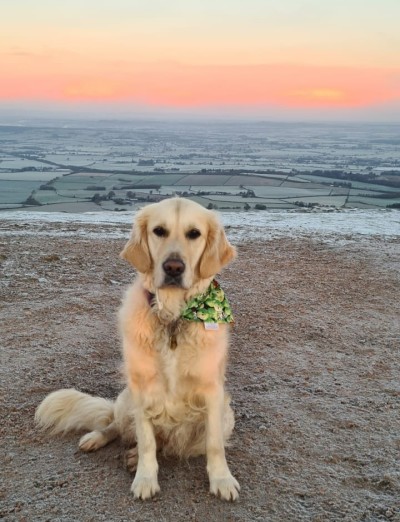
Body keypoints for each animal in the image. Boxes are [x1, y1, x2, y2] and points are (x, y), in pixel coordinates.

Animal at [34, 196, 239, 500]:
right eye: (159, 231)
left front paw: (222, 480)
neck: (172, 317)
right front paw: (145, 479)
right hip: (126, 399)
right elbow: (146, 442)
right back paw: (98, 439)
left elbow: (214, 445)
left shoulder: (212, 392)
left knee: (168, 444)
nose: (174, 267)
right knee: (116, 426)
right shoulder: (142, 388)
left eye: (194, 233)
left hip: (226, 417)